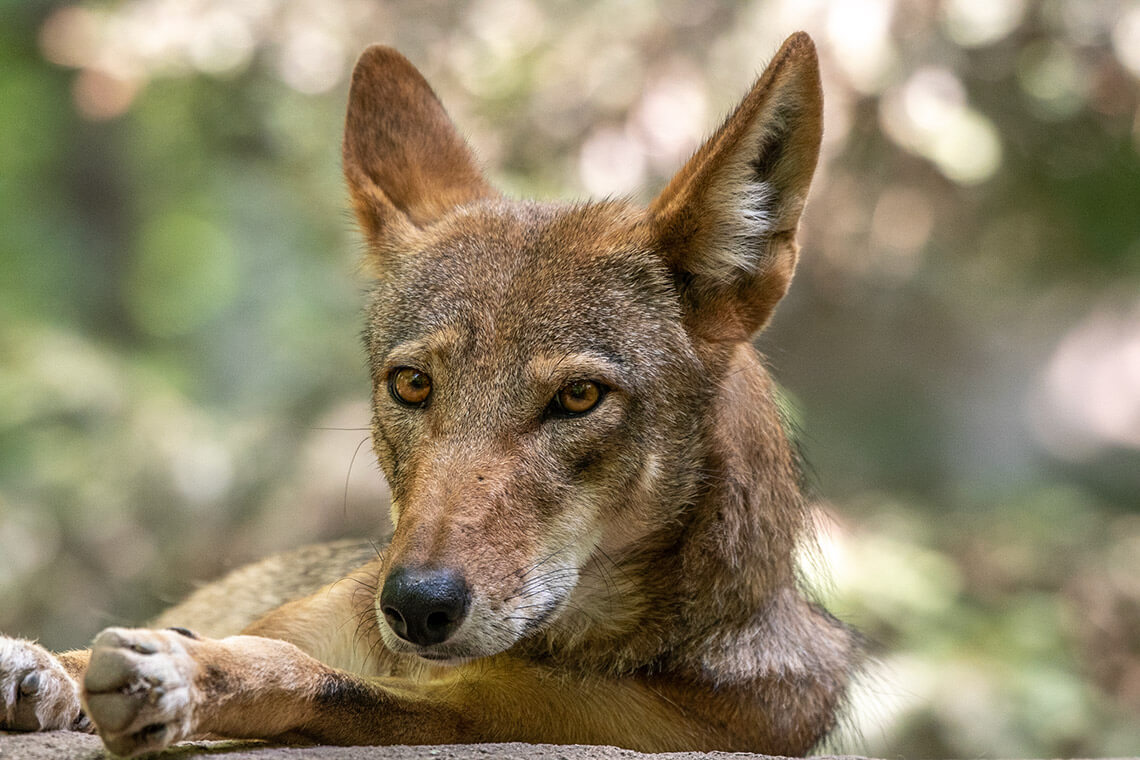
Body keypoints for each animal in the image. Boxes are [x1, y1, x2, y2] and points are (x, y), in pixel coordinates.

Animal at [0, 31, 859, 757]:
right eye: (412, 384)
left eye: (580, 397)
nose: (416, 605)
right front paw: (43, 669)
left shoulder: (487, 713)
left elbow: (315, 680)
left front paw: (186, 677)